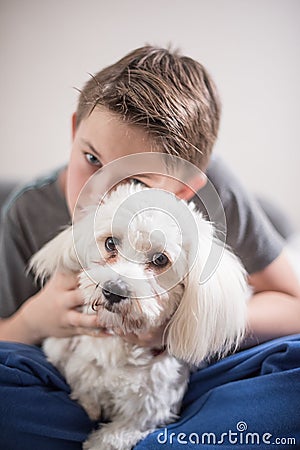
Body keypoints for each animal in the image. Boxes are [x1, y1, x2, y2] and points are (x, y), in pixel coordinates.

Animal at [30, 182, 250, 450]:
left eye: (160, 259)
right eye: (110, 243)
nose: (113, 291)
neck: (120, 349)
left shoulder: (146, 414)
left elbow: (110, 437)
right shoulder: (73, 363)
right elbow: (84, 389)